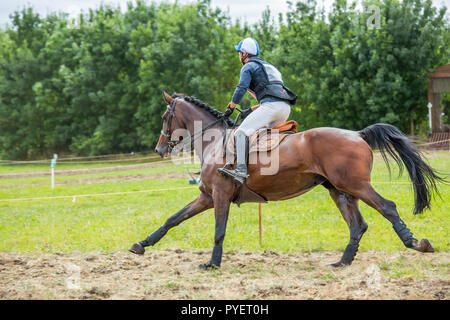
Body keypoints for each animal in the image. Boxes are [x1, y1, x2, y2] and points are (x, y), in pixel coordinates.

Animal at [128, 91, 444, 268]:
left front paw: (213, 264)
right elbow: (173, 219)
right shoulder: (206, 196)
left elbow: (218, 231)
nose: (158, 148)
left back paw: (416, 243)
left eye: (164, 117)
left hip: (356, 186)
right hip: (339, 191)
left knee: (387, 207)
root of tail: (358, 134)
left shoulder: (219, 195)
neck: (214, 140)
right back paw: (342, 262)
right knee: (358, 225)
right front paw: (141, 245)